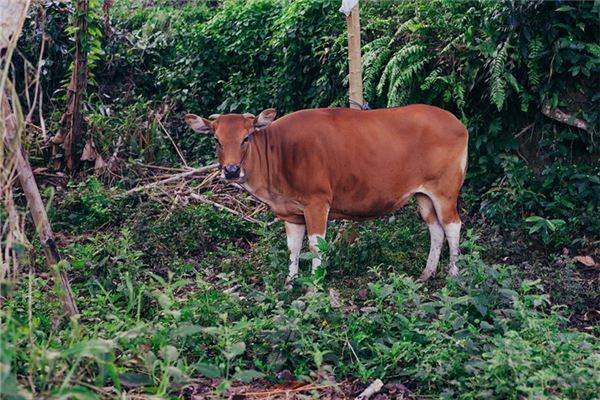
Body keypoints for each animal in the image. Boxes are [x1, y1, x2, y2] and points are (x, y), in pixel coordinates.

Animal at [185, 104, 466, 284]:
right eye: (217, 140)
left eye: (246, 138)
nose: (232, 171)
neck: (280, 152)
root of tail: (457, 122)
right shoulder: (292, 213)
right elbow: (293, 247)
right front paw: (291, 282)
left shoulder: (317, 203)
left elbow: (315, 245)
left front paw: (316, 284)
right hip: (423, 195)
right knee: (435, 228)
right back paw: (427, 274)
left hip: (445, 191)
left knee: (452, 226)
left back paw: (453, 276)